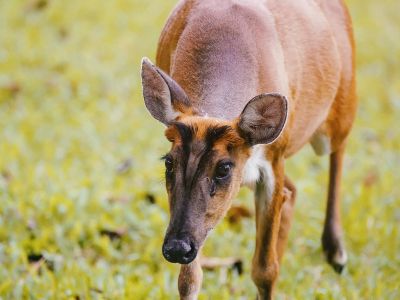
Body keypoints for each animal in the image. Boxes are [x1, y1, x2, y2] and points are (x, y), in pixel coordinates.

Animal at [140, 0, 356, 298]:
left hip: (342, 102)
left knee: (339, 148)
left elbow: (265, 271)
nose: (176, 248)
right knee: (292, 191)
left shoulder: (274, 157)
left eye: (223, 168)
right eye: (168, 162)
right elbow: (189, 279)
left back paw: (336, 252)